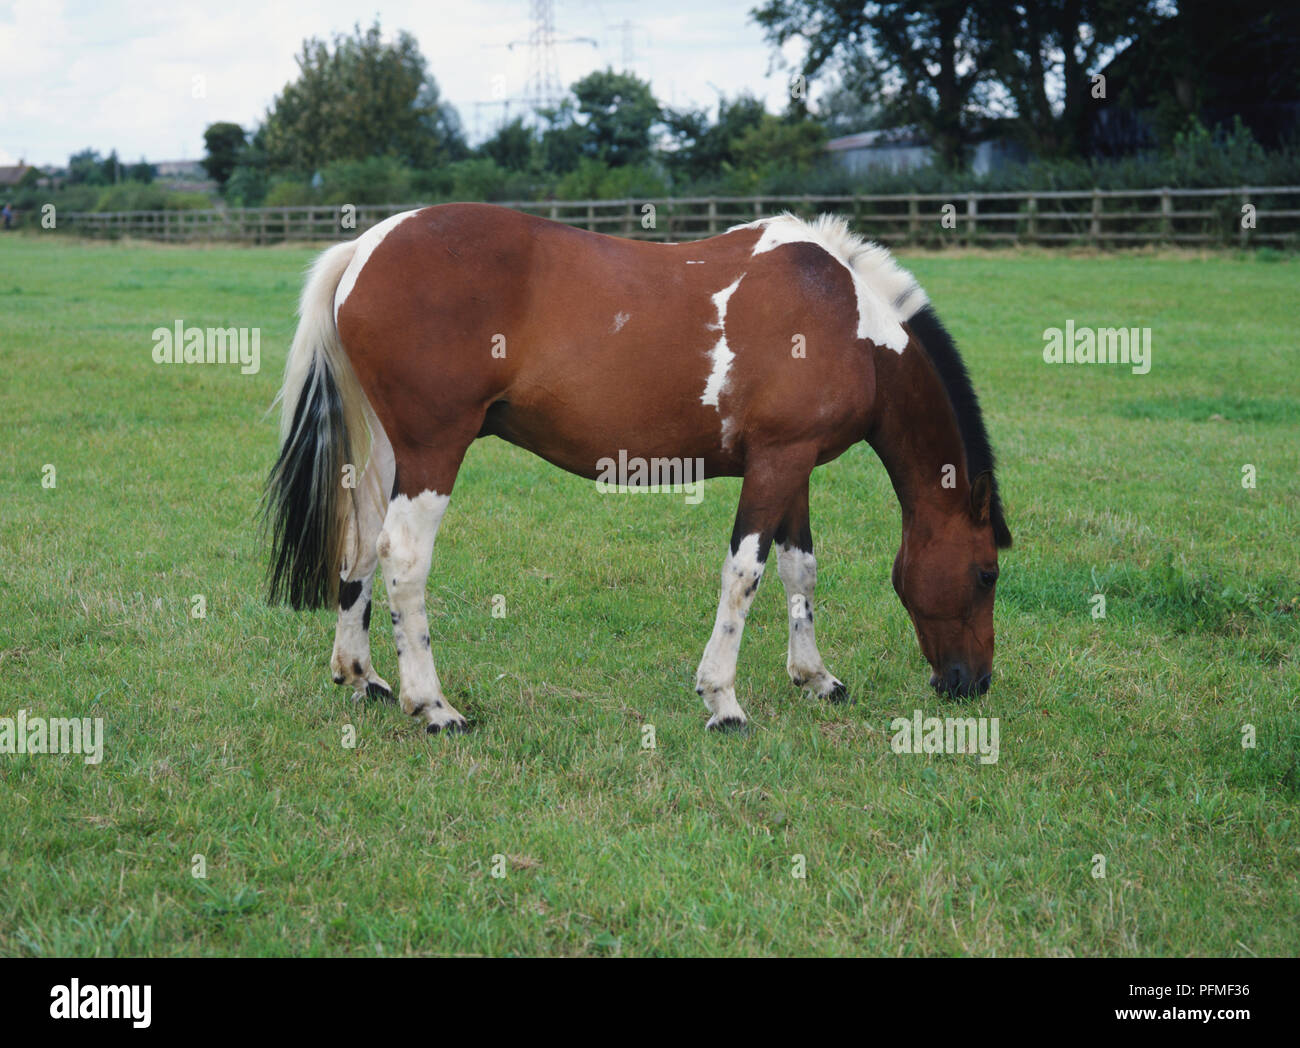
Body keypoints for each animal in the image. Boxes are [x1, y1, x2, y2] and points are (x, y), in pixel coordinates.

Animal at [263, 201, 1008, 733]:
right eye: (986, 573)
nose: (972, 685)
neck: (847, 324)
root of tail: (364, 247)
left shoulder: (792, 464)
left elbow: (799, 570)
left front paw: (815, 678)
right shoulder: (776, 464)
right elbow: (745, 575)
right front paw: (722, 699)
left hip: (391, 452)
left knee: (360, 545)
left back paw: (363, 677)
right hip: (433, 451)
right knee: (403, 556)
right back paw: (434, 706)